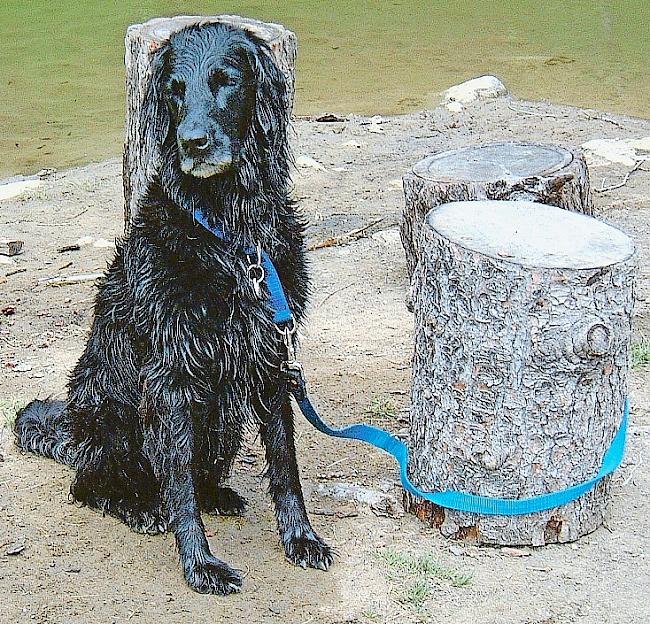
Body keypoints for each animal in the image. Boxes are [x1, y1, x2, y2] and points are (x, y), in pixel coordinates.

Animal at [15, 20, 332, 596]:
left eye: (226, 80)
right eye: (174, 90)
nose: (193, 141)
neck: (228, 233)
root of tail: (72, 428)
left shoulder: (273, 359)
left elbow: (285, 464)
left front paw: (300, 538)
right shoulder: (171, 377)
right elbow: (178, 478)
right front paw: (200, 563)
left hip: (222, 417)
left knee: (200, 474)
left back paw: (220, 495)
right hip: (110, 409)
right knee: (92, 482)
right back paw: (137, 506)